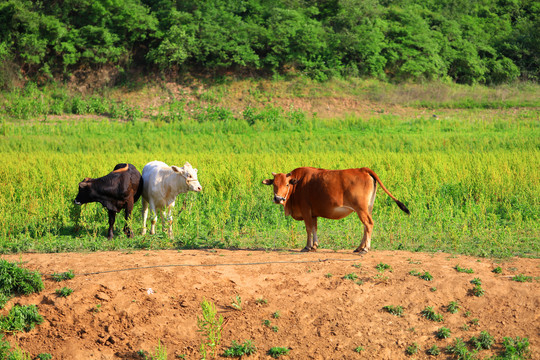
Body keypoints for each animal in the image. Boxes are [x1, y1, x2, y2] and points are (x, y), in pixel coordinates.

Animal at [262, 167, 410, 252]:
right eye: (274, 184)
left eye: (287, 184)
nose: (278, 198)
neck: (298, 185)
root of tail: (362, 169)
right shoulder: (313, 214)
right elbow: (314, 228)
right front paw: (315, 245)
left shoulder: (306, 211)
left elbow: (309, 229)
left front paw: (308, 246)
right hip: (367, 209)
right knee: (366, 226)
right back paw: (359, 247)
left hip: (361, 209)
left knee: (368, 224)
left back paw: (365, 248)